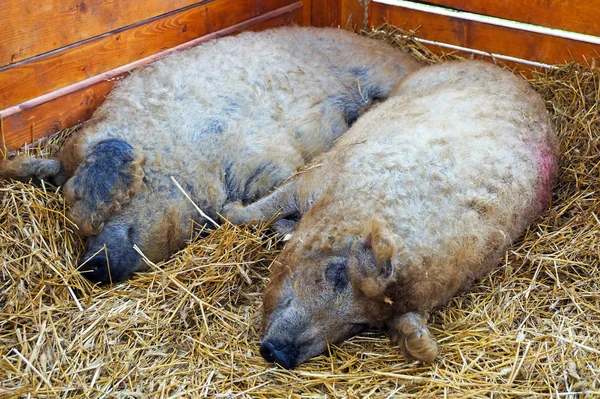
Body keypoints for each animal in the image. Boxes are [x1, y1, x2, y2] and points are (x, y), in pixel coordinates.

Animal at [223, 61, 560, 370]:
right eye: (337, 274)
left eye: (360, 324)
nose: (279, 353)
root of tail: (507, 73)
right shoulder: (316, 176)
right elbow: (263, 209)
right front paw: (231, 209)